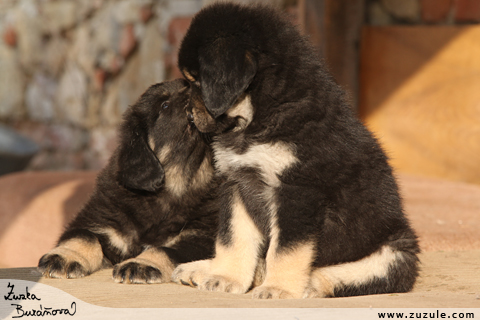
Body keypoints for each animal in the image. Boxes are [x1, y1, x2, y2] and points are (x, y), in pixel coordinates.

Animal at [38, 79, 218, 284]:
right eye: (164, 105)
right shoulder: (98, 218)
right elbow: (83, 235)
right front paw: (65, 256)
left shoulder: (201, 237)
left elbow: (166, 249)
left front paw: (141, 264)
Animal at [172, 3, 420, 300]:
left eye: (197, 82)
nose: (188, 116)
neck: (259, 119)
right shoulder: (237, 182)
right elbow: (233, 237)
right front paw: (225, 276)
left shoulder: (297, 191)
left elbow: (285, 249)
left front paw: (278, 288)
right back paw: (201, 268)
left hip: (395, 250)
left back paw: (308, 284)